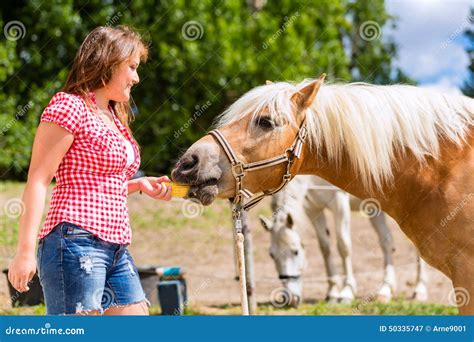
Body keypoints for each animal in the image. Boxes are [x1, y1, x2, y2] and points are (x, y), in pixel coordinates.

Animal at [260, 175, 430, 306]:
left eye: (295, 252)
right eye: (271, 255)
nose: (289, 299)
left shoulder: (339, 201)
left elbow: (343, 246)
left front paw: (346, 292)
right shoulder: (313, 208)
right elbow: (325, 247)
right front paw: (332, 291)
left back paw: (420, 290)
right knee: (387, 243)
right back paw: (385, 290)